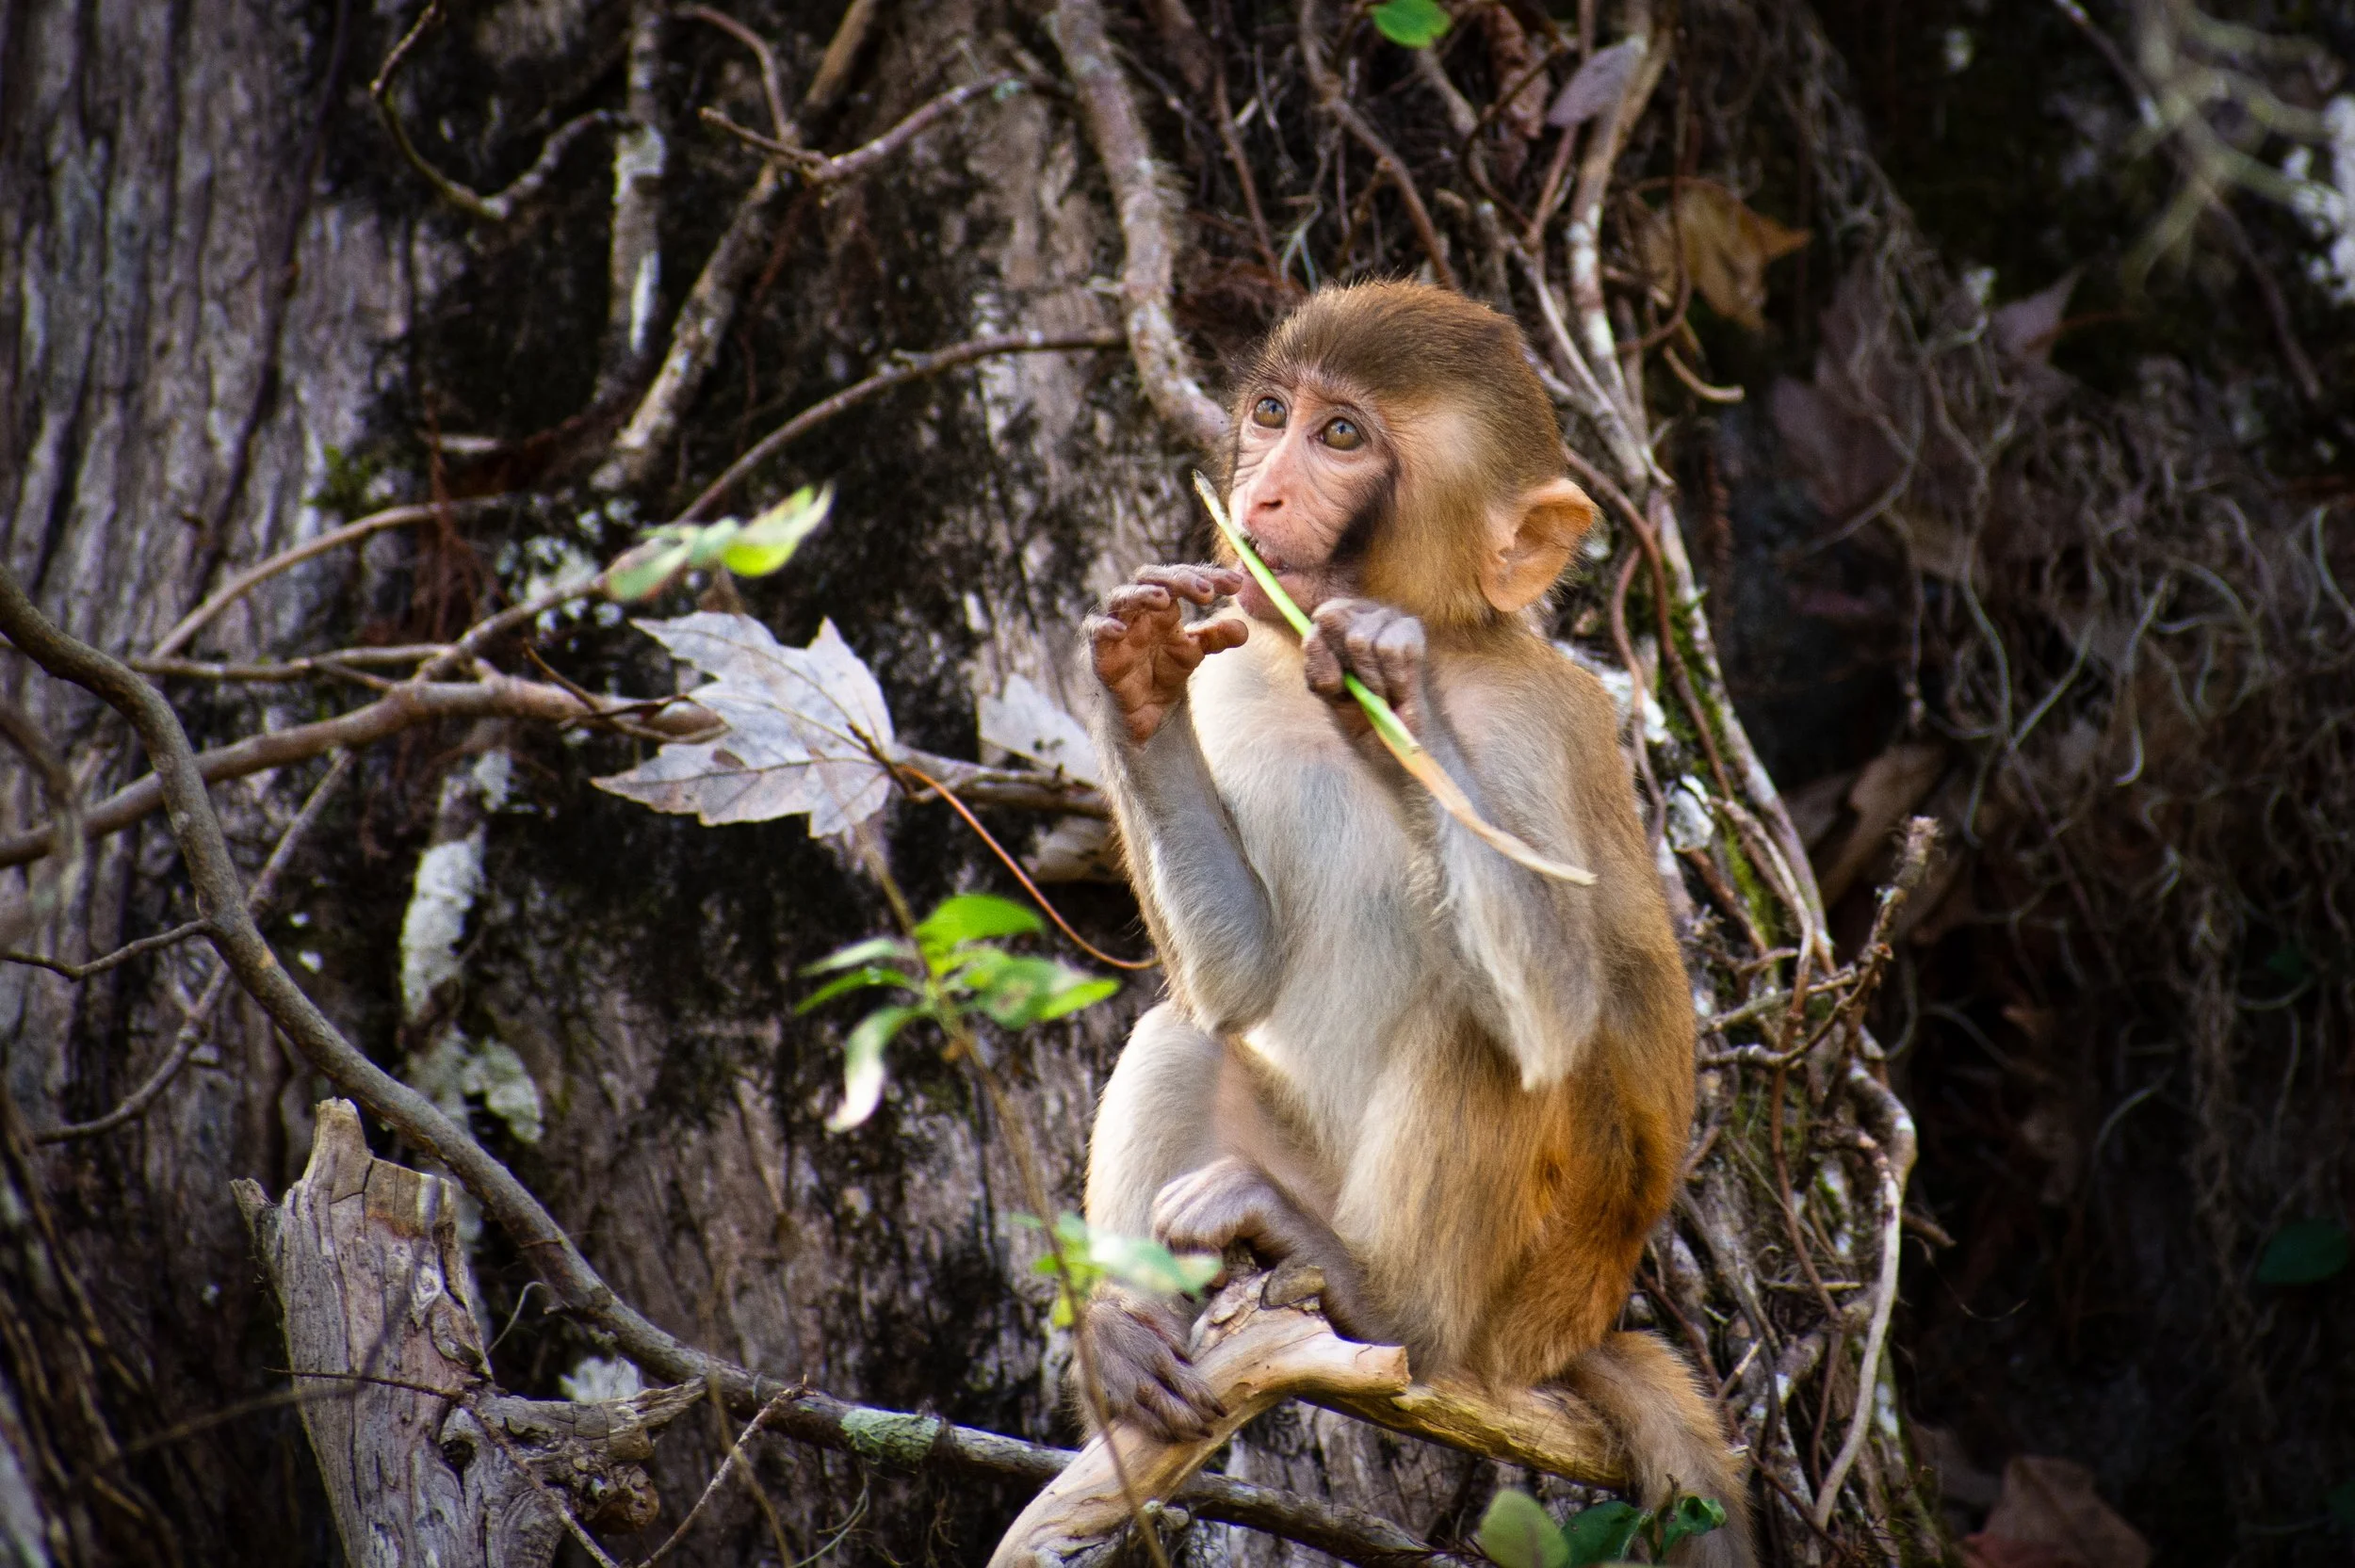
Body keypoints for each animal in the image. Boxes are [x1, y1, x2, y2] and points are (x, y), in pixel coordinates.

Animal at [1077, 281, 1751, 1564]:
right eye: (1274, 414)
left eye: (1341, 438)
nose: (1257, 497)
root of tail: (1569, 1331)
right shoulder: (1236, 679)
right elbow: (1234, 984)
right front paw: (1136, 677)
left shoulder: (1547, 728)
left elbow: (1559, 1018)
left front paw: (1391, 690)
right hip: (1308, 1160)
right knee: (1182, 1029)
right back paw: (1128, 1329)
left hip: (1519, 1298)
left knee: (1484, 1034)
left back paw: (1380, 1298)